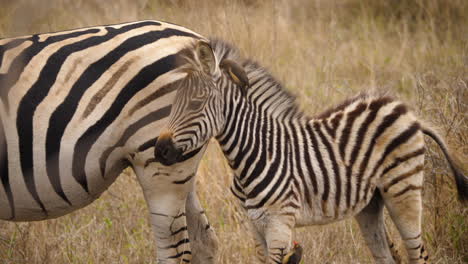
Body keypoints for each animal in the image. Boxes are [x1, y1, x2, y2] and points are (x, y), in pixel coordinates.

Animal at [155, 39, 466, 264]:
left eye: (196, 103)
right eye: (174, 102)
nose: (160, 151)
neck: (255, 154)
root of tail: (405, 109)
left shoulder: (280, 224)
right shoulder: (254, 226)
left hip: (404, 191)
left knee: (419, 254)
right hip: (370, 204)